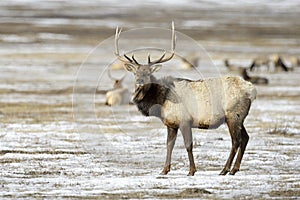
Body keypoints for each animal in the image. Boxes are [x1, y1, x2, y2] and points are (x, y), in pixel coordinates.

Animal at [113, 21, 256, 175]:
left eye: (147, 73)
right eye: (135, 73)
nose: (139, 81)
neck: (161, 101)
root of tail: (252, 90)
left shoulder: (185, 120)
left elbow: (188, 146)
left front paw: (192, 170)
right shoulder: (171, 124)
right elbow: (169, 145)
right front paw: (164, 170)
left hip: (233, 115)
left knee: (236, 141)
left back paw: (225, 169)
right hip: (240, 117)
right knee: (246, 138)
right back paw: (234, 169)